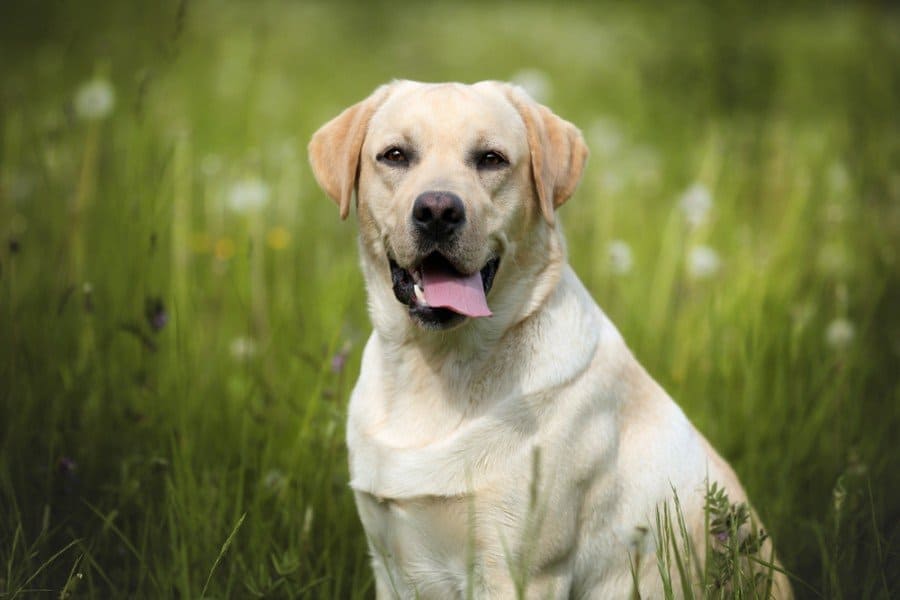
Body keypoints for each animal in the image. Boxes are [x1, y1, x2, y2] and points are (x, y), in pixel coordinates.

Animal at [308, 81, 788, 600]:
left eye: (492, 159)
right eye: (395, 155)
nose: (438, 210)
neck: (436, 367)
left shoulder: (518, 572)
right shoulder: (389, 564)